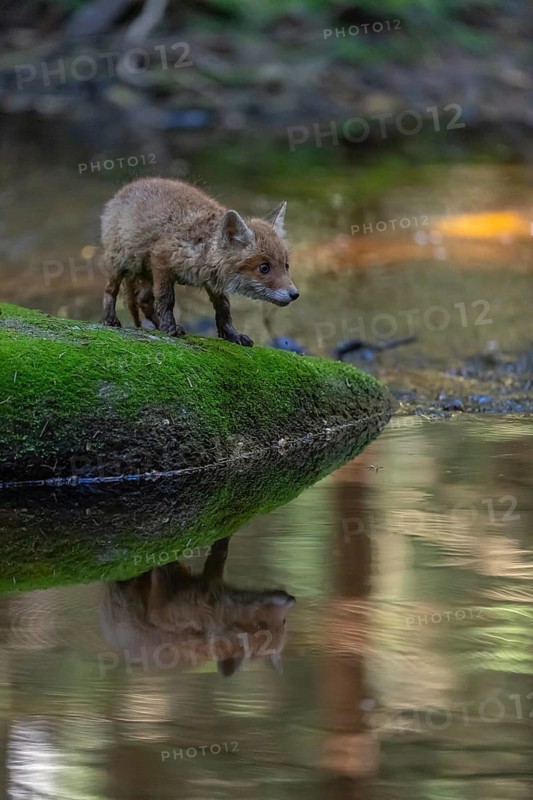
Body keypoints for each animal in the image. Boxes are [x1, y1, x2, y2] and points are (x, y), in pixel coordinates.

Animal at [101, 177, 299, 346]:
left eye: (286, 266)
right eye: (264, 267)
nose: (295, 294)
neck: (202, 247)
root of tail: (125, 189)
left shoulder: (214, 281)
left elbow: (224, 310)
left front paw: (232, 335)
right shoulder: (161, 258)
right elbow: (166, 299)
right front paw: (169, 327)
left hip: (146, 274)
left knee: (143, 301)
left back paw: (157, 325)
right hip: (120, 263)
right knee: (111, 290)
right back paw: (110, 319)